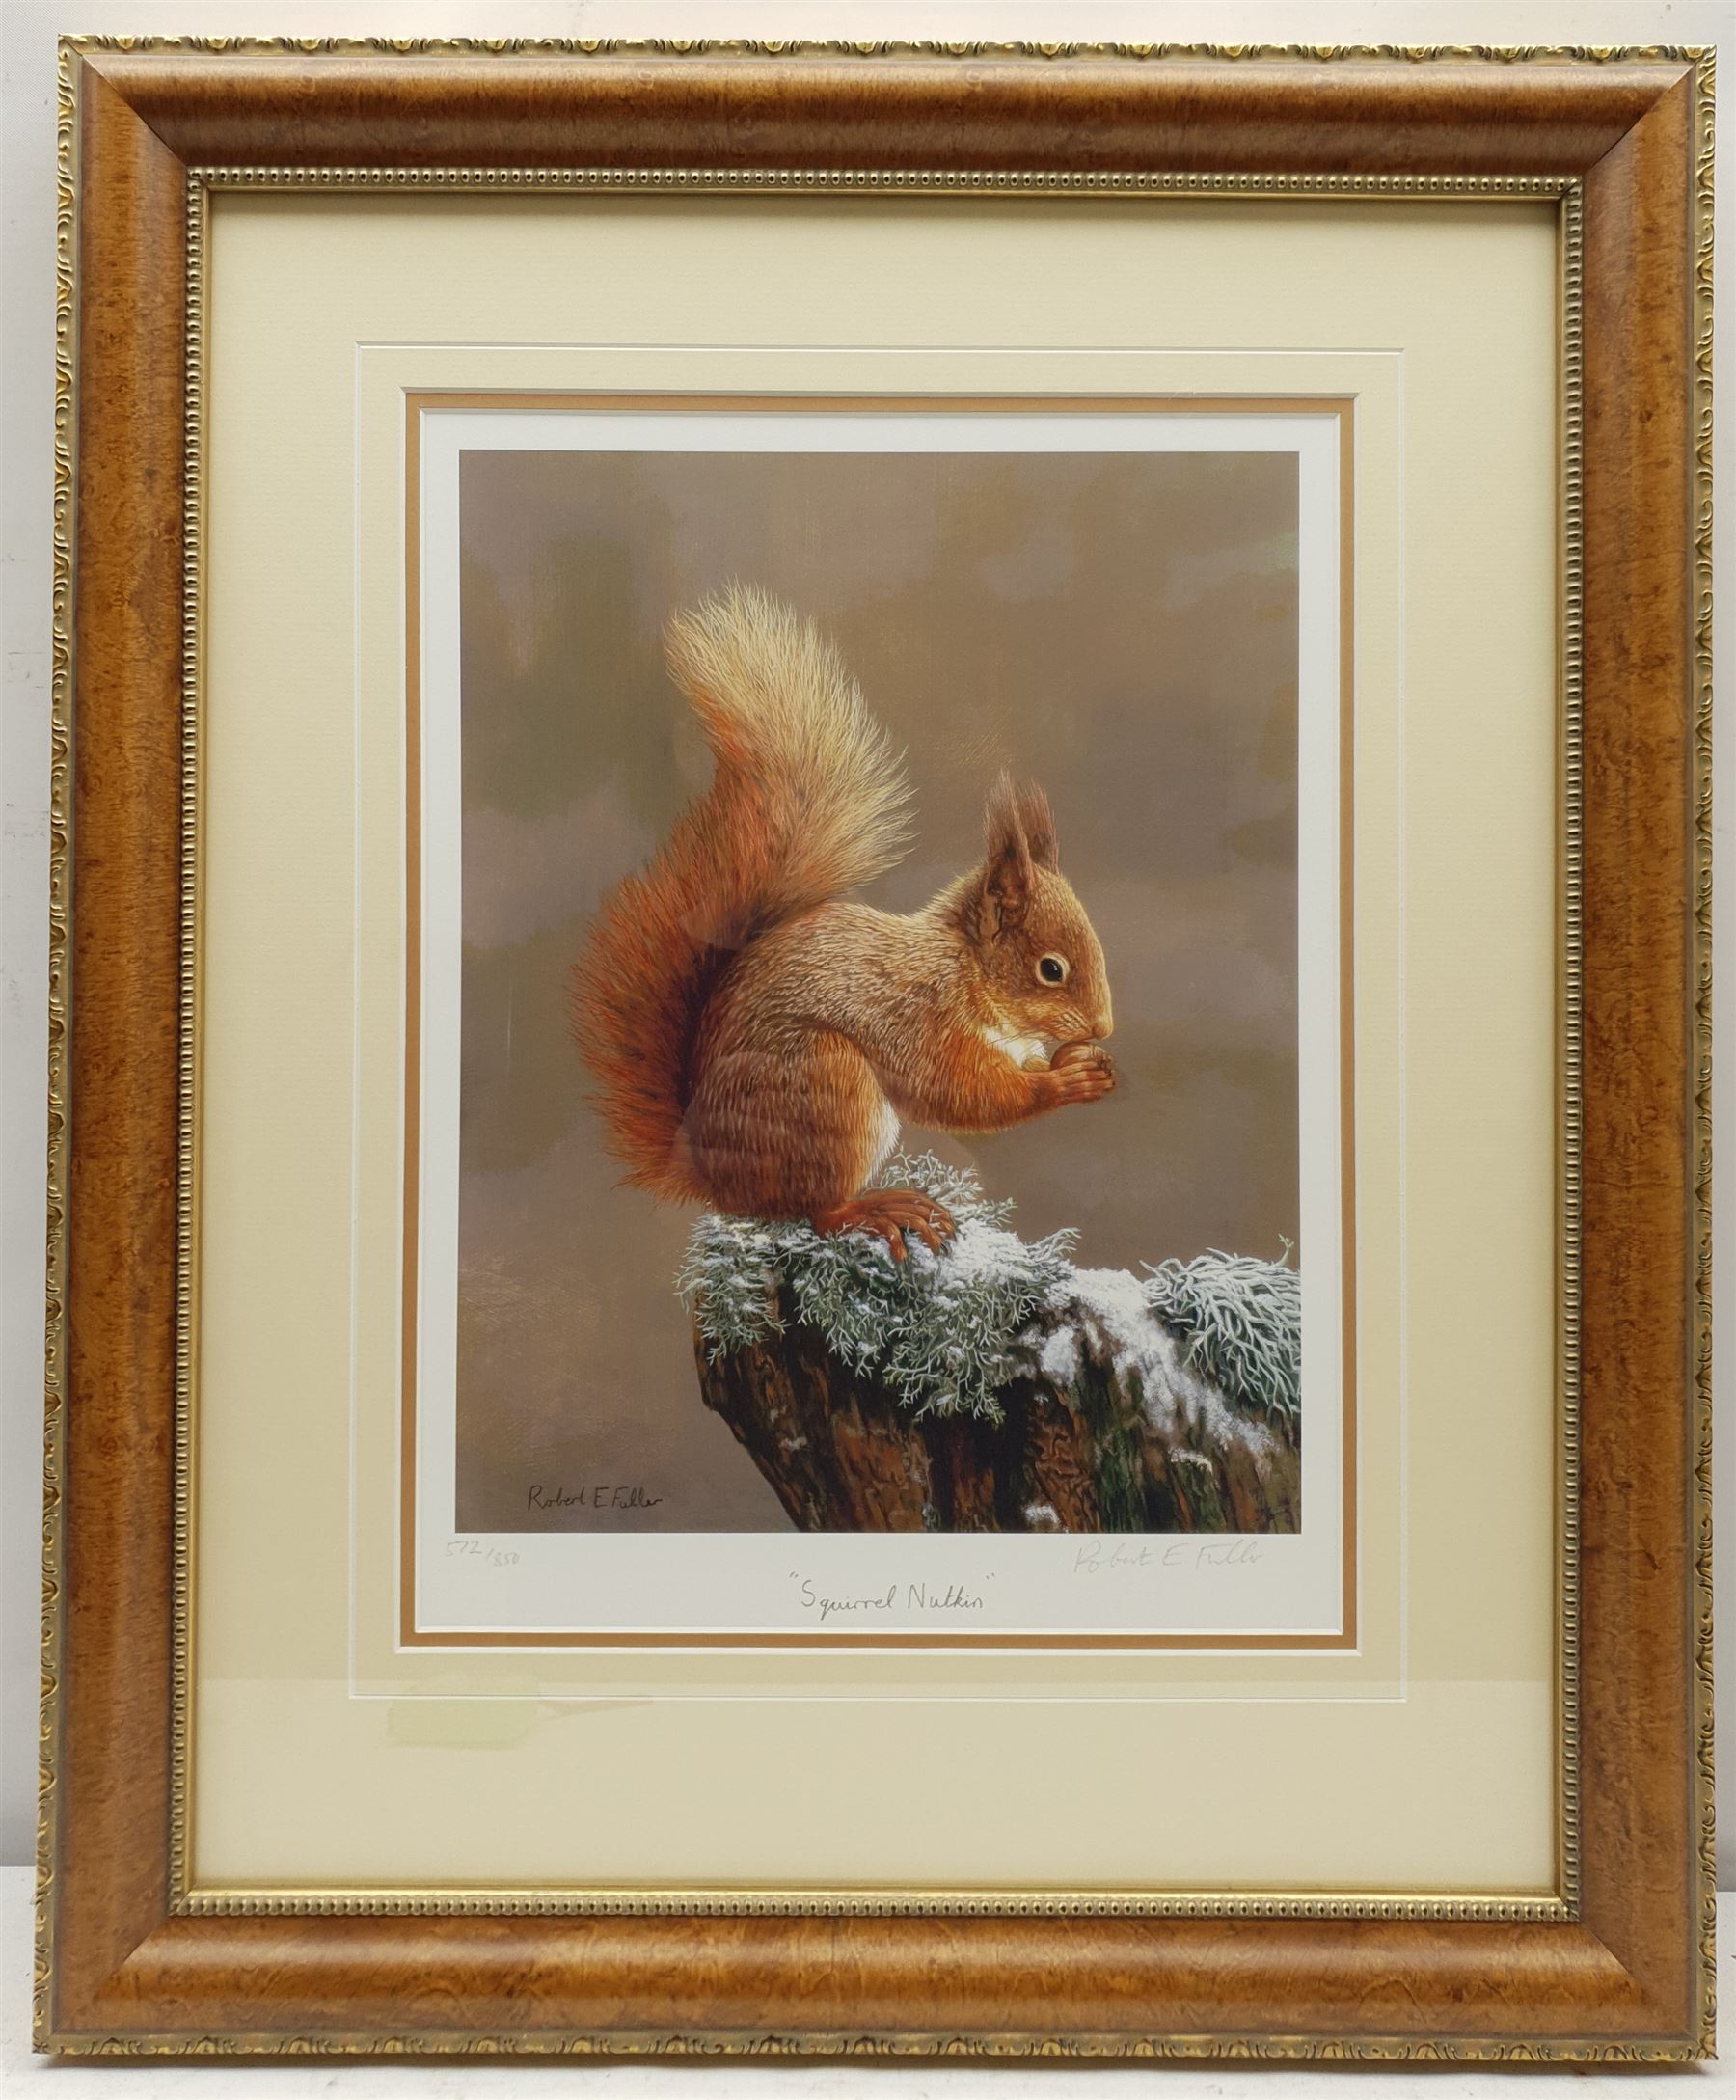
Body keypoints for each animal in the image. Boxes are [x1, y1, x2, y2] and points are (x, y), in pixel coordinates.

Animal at [571, 587, 1115, 1261]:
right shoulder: (916, 1015)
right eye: (1051, 969)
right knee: (815, 1210)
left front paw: (1082, 1061)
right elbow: (958, 1092)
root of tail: (715, 1178)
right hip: (825, 1087)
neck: (965, 971)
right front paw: (1066, 1082)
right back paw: (877, 1208)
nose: (1104, 1027)